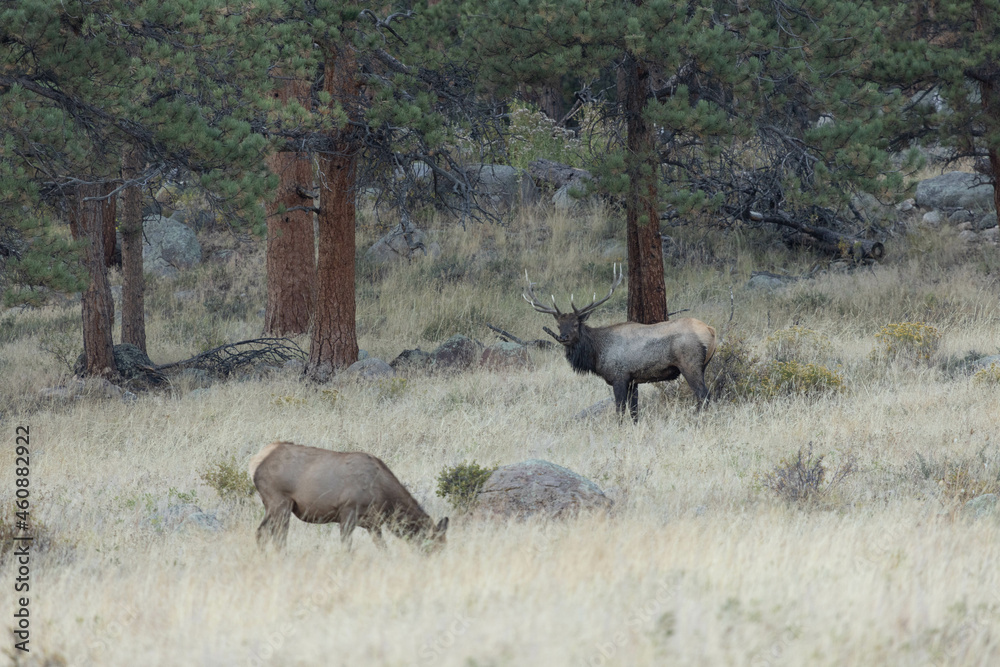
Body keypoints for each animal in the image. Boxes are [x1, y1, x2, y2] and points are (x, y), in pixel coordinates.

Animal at [249, 441, 448, 551]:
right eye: (434, 545)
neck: (386, 499)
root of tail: (255, 463)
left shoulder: (373, 524)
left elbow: (384, 550)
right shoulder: (348, 512)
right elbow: (347, 549)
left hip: (272, 506)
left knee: (260, 533)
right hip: (280, 502)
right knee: (278, 538)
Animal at [523, 264, 717, 421]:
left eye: (576, 324)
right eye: (559, 325)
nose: (563, 337)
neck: (597, 353)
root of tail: (710, 330)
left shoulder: (619, 376)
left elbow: (620, 410)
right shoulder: (633, 380)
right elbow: (634, 411)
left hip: (690, 364)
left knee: (704, 396)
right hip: (703, 365)